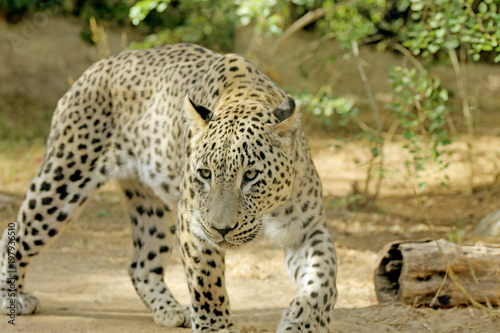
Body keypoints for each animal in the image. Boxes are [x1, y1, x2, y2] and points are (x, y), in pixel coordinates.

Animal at [0, 42, 338, 330]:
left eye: (251, 175)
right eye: (205, 173)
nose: (222, 229)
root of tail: (95, 68)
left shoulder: (306, 229)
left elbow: (323, 277)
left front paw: (304, 322)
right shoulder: (194, 222)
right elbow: (206, 282)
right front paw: (216, 327)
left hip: (150, 205)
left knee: (141, 265)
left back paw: (170, 310)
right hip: (62, 180)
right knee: (14, 236)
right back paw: (12, 299)